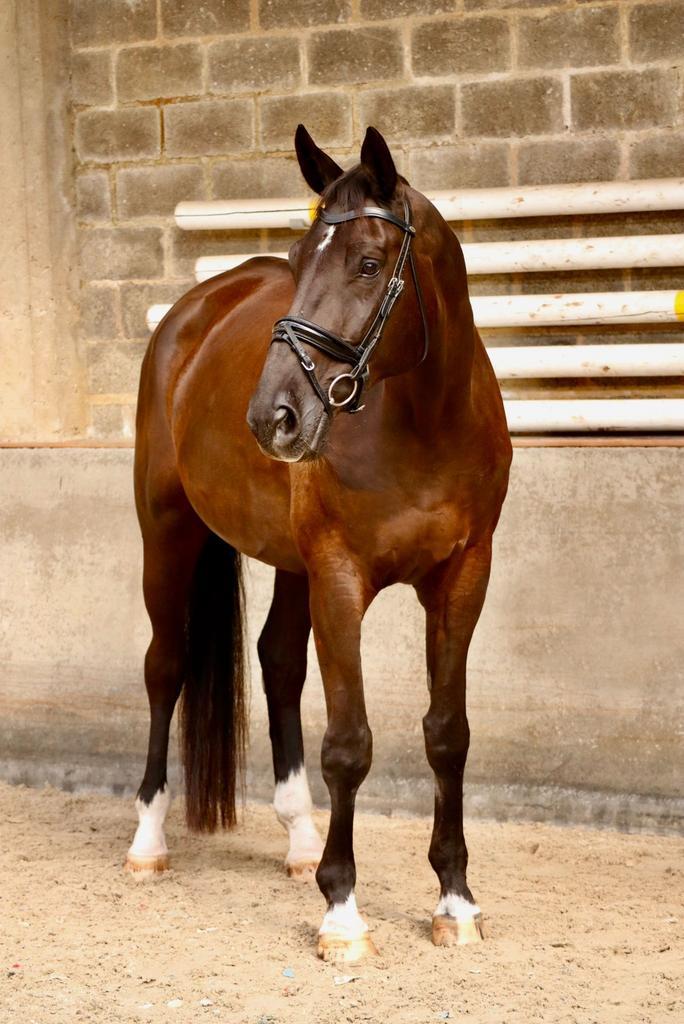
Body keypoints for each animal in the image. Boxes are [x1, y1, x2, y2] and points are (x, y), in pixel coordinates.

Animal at [126, 124, 512, 962]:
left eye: (368, 262)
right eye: (301, 261)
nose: (272, 416)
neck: (425, 425)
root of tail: (195, 309)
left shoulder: (464, 577)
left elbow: (448, 734)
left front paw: (456, 900)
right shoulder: (341, 576)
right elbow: (349, 743)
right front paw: (343, 912)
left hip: (291, 563)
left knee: (276, 661)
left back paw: (300, 840)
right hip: (167, 531)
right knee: (166, 667)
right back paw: (147, 841)